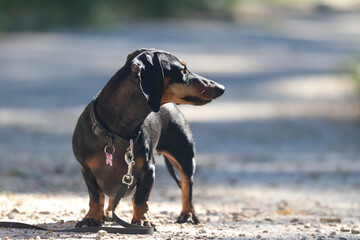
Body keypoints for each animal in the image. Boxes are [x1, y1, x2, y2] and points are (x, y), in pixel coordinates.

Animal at [72, 48, 225, 227]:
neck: (115, 133)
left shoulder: (148, 170)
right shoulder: (86, 170)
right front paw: (93, 218)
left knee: (187, 184)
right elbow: (96, 196)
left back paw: (187, 214)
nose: (221, 88)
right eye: (182, 71)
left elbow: (140, 198)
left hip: (185, 157)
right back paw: (110, 211)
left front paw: (142, 219)